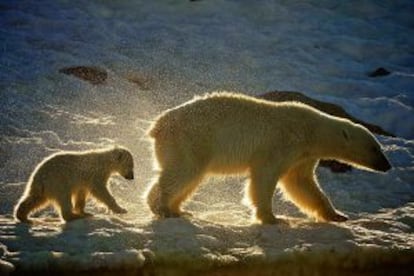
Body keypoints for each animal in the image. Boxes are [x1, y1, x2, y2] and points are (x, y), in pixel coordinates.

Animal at [146, 92, 392, 224]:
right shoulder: (280, 143)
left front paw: (338, 215)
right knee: (183, 173)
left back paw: (177, 209)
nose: (387, 165)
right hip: (191, 141)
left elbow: (301, 184)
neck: (310, 129)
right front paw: (272, 218)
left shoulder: (302, 156)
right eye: (375, 148)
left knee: (189, 177)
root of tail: (157, 126)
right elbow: (265, 177)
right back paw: (163, 207)